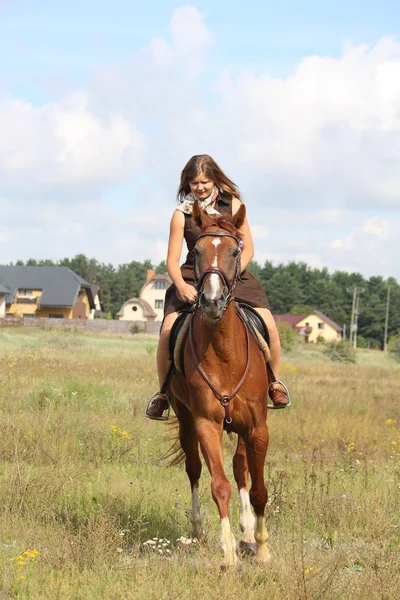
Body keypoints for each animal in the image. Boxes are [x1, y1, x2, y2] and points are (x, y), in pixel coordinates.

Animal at [167, 200, 270, 568]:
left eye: (235, 250)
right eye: (195, 252)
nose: (212, 301)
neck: (224, 351)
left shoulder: (257, 427)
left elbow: (258, 489)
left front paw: (261, 548)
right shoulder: (206, 423)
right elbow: (219, 485)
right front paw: (228, 553)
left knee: (241, 468)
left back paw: (248, 530)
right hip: (186, 419)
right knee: (194, 468)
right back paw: (198, 529)